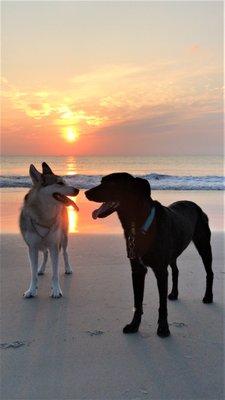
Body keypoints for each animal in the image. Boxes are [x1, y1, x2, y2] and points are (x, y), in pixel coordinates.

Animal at [19, 162, 79, 296]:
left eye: (65, 182)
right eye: (60, 183)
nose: (77, 190)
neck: (44, 216)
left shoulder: (54, 246)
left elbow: (55, 273)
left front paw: (56, 290)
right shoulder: (32, 248)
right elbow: (33, 274)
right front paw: (31, 290)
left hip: (63, 239)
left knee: (65, 253)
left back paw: (68, 268)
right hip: (41, 246)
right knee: (45, 254)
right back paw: (41, 269)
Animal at [84, 174, 213, 338]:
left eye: (111, 184)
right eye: (101, 181)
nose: (86, 193)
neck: (138, 223)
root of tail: (196, 206)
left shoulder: (160, 271)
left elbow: (162, 305)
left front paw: (163, 328)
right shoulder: (137, 270)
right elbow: (138, 302)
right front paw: (134, 325)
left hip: (203, 244)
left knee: (209, 272)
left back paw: (208, 297)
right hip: (173, 253)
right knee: (176, 270)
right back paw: (174, 293)